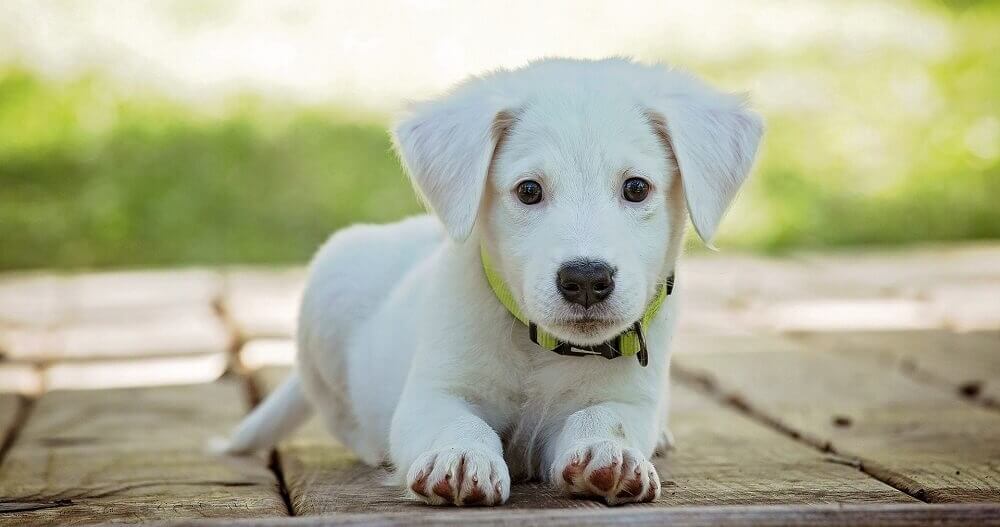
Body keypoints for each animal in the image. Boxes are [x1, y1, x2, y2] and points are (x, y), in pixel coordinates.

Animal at [223, 57, 760, 508]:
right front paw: (460, 457)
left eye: (636, 188)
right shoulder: (433, 393)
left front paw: (609, 453)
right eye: (529, 191)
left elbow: (606, 418)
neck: (540, 348)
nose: (586, 279)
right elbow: (456, 422)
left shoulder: (629, 398)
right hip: (329, 290)